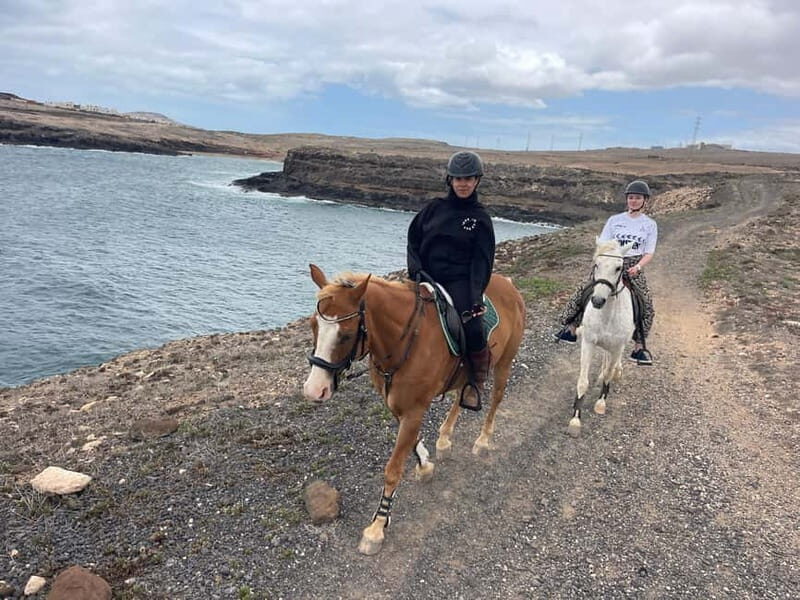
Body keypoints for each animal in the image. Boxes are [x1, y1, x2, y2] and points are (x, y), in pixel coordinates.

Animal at [303, 264, 525, 555]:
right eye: (313, 325)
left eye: (346, 334)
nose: (313, 389)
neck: (404, 339)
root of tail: (509, 284)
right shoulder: (398, 405)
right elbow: (411, 443)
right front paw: (425, 464)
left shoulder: (415, 410)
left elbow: (393, 469)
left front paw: (377, 527)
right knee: (460, 396)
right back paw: (445, 437)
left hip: (505, 363)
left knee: (496, 398)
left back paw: (483, 440)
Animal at [568, 238, 636, 435]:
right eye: (596, 264)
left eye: (619, 268)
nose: (597, 301)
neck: (607, 315)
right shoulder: (588, 342)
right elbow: (583, 381)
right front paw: (575, 420)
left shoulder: (617, 345)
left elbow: (608, 374)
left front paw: (600, 403)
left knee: (613, 363)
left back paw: (617, 371)